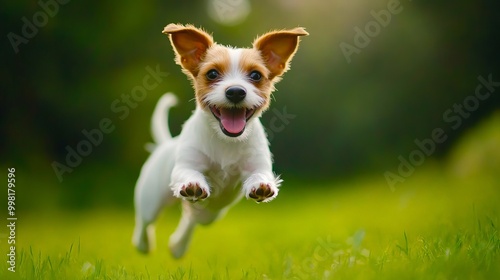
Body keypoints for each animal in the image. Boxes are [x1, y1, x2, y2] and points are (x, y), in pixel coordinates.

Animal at [131, 23, 306, 258]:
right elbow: (189, 173)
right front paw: (193, 183)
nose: (236, 92)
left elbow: (260, 174)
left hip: (210, 214)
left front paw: (260, 185)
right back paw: (144, 244)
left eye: (256, 75)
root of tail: (165, 144)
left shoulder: (257, 165)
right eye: (212, 73)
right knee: (144, 222)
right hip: (151, 198)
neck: (225, 141)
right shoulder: (186, 166)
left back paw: (178, 246)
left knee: (192, 218)